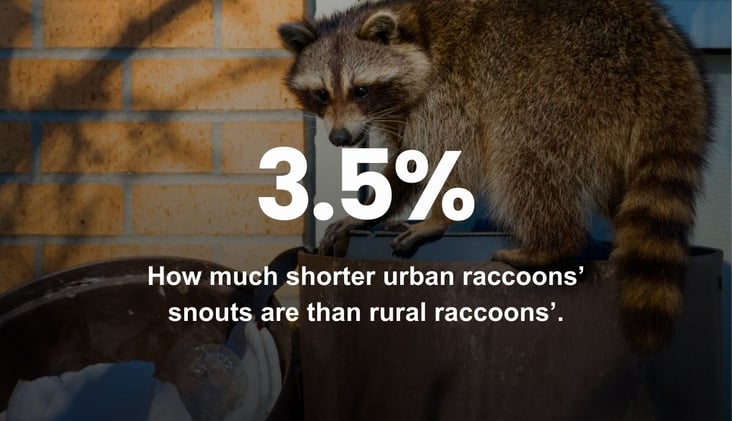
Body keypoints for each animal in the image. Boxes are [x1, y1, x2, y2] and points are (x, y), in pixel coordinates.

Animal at [278, 0, 709, 354]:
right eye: (321, 94)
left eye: (361, 90)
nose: (339, 138)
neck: (416, 34)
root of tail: (662, 57)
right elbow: (407, 161)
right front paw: (368, 212)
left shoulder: (447, 92)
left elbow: (452, 154)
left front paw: (437, 218)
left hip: (568, 81)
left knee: (520, 153)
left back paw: (551, 243)